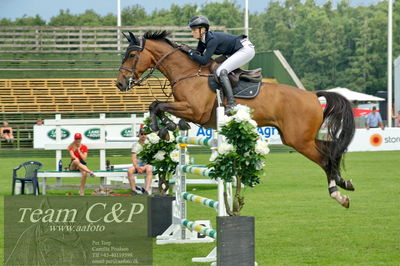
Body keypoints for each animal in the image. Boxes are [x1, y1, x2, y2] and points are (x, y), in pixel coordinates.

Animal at [116, 31, 356, 209]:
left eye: (132, 55)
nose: (120, 83)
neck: (188, 73)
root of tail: (312, 95)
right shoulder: (187, 109)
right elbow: (156, 106)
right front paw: (170, 126)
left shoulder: (194, 110)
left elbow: (157, 105)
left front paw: (164, 128)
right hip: (299, 138)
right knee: (331, 150)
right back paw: (344, 183)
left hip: (299, 140)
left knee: (326, 157)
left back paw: (338, 194)